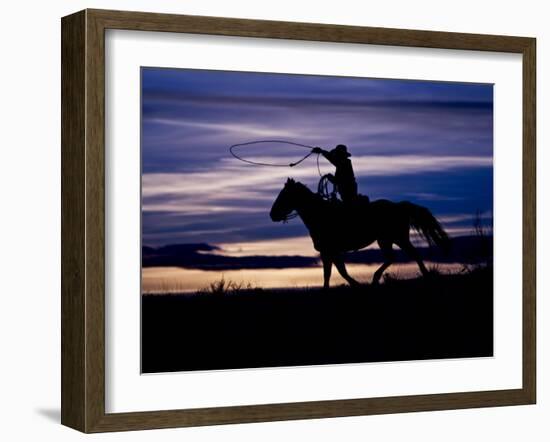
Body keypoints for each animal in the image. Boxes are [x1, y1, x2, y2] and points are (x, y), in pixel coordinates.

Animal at [270, 178, 450, 288]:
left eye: (284, 195)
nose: (272, 214)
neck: (321, 215)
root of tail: (399, 206)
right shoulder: (329, 252)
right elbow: (332, 272)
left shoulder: (330, 251)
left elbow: (338, 272)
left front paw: (355, 284)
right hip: (387, 240)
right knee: (396, 257)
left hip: (397, 238)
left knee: (411, 255)